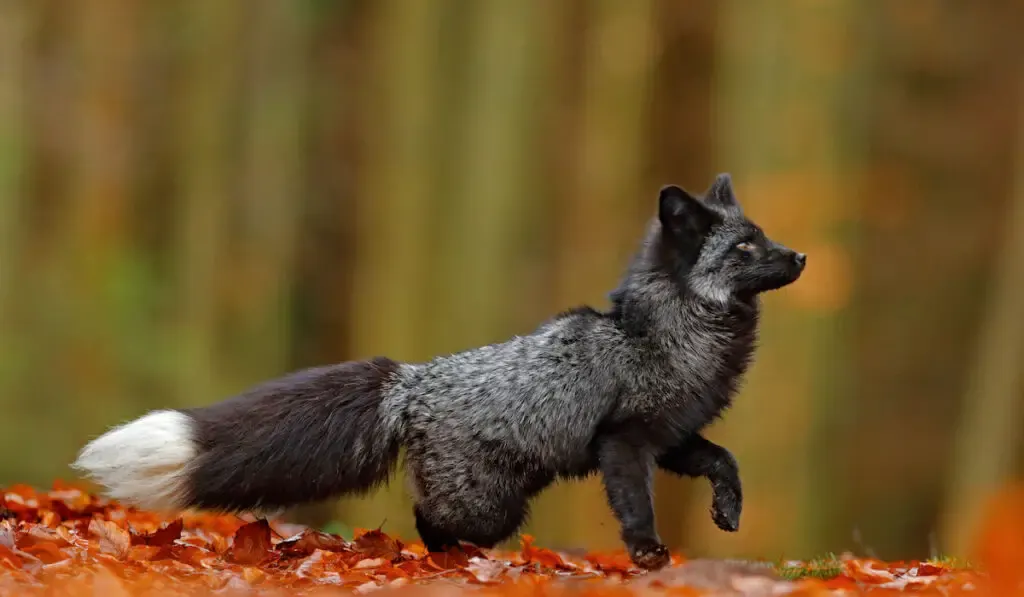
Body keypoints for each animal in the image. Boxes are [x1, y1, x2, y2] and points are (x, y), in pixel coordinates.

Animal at [74, 173, 806, 569]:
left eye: (764, 238)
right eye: (745, 248)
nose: (800, 256)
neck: (672, 333)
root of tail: (411, 380)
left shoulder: (672, 435)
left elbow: (725, 460)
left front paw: (728, 510)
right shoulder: (623, 442)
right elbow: (635, 507)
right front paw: (649, 555)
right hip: (488, 503)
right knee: (429, 521)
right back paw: (451, 562)